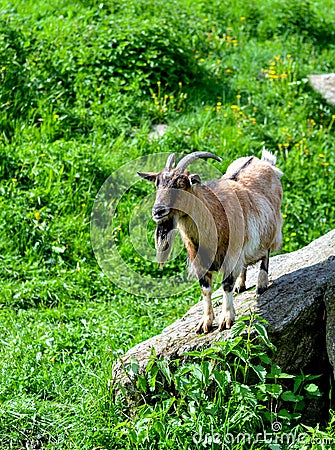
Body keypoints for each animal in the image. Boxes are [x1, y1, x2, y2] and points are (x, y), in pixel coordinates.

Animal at [138, 151, 284, 334]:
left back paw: (261, 284)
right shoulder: (198, 260)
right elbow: (205, 290)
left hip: (272, 228)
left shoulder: (231, 256)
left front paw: (226, 319)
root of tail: (264, 162)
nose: (158, 210)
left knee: (266, 255)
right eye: (157, 184)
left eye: (180, 184)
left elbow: (226, 285)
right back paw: (241, 285)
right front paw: (205, 323)